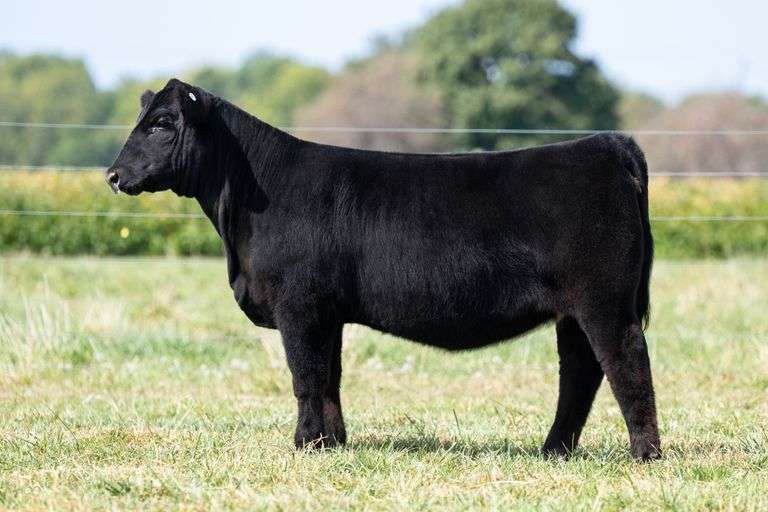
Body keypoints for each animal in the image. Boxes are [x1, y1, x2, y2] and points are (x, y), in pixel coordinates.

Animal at [106, 78, 660, 460]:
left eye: (162, 123)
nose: (112, 174)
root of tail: (606, 145)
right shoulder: (327, 312)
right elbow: (329, 376)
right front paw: (331, 443)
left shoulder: (298, 304)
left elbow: (304, 374)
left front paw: (303, 444)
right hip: (574, 310)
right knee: (581, 372)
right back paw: (554, 451)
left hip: (603, 301)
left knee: (625, 360)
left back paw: (644, 453)